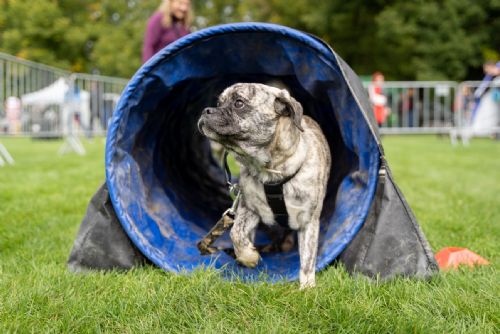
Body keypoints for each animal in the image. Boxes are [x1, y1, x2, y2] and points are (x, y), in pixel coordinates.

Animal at [197, 83, 330, 288]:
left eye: (239, 103)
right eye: (219, 103)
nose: (206, 110)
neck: (269, 171)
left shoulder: (308, 220)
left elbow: (308, 260)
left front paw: (307, 288)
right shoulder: (250, 208)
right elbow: (236, 232)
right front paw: (248, 257)